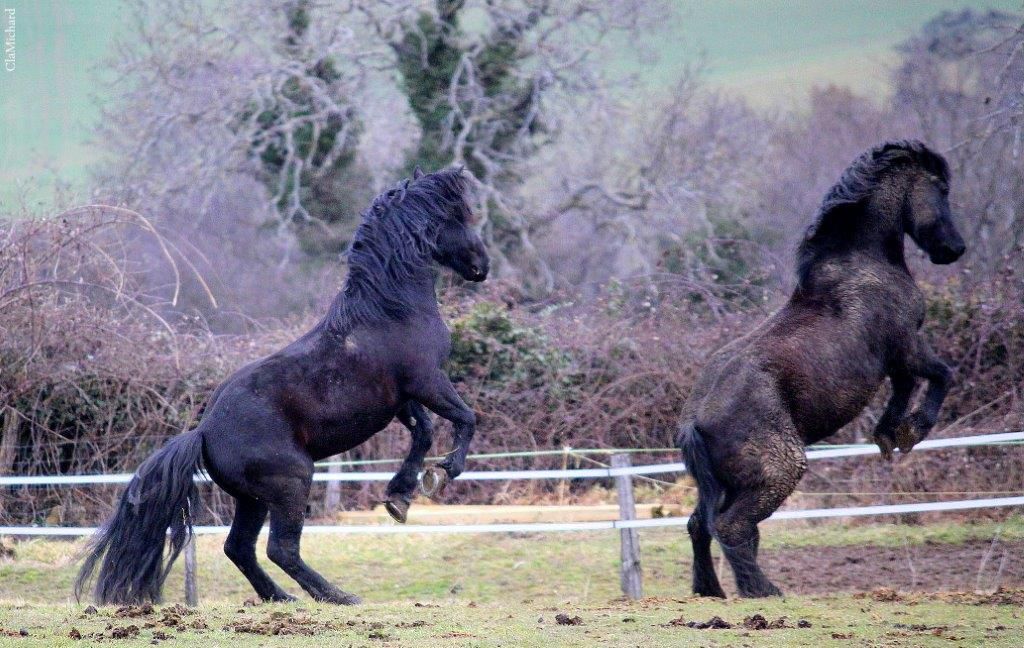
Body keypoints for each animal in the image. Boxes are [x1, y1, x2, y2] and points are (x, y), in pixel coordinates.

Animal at [76, 166, 489, 605]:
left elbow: (423, 431)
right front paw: (447, 470)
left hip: (252, 499)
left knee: (239, 548)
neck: (390, 310)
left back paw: (281, 597)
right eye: (461, 216)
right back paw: (336, 596)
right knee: (281, 548)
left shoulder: (402, 397)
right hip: (292, 482)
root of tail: (204, 433)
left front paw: (401, 496)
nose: (482, 266)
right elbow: (465, 417)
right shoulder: (427, 381)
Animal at [677, 140, 966, 598]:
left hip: (727, 485)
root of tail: (694, 421)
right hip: (778, 472)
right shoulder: (907, 346)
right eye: (941, 189)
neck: (861, 264)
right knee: (732, 527)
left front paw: (888, 435)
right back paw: (763, 591)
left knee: (700, 526)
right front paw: (911, 431)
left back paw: (712, 590)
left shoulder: (893, 360)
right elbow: (941, 374)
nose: (954, 249)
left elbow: (905, 387)